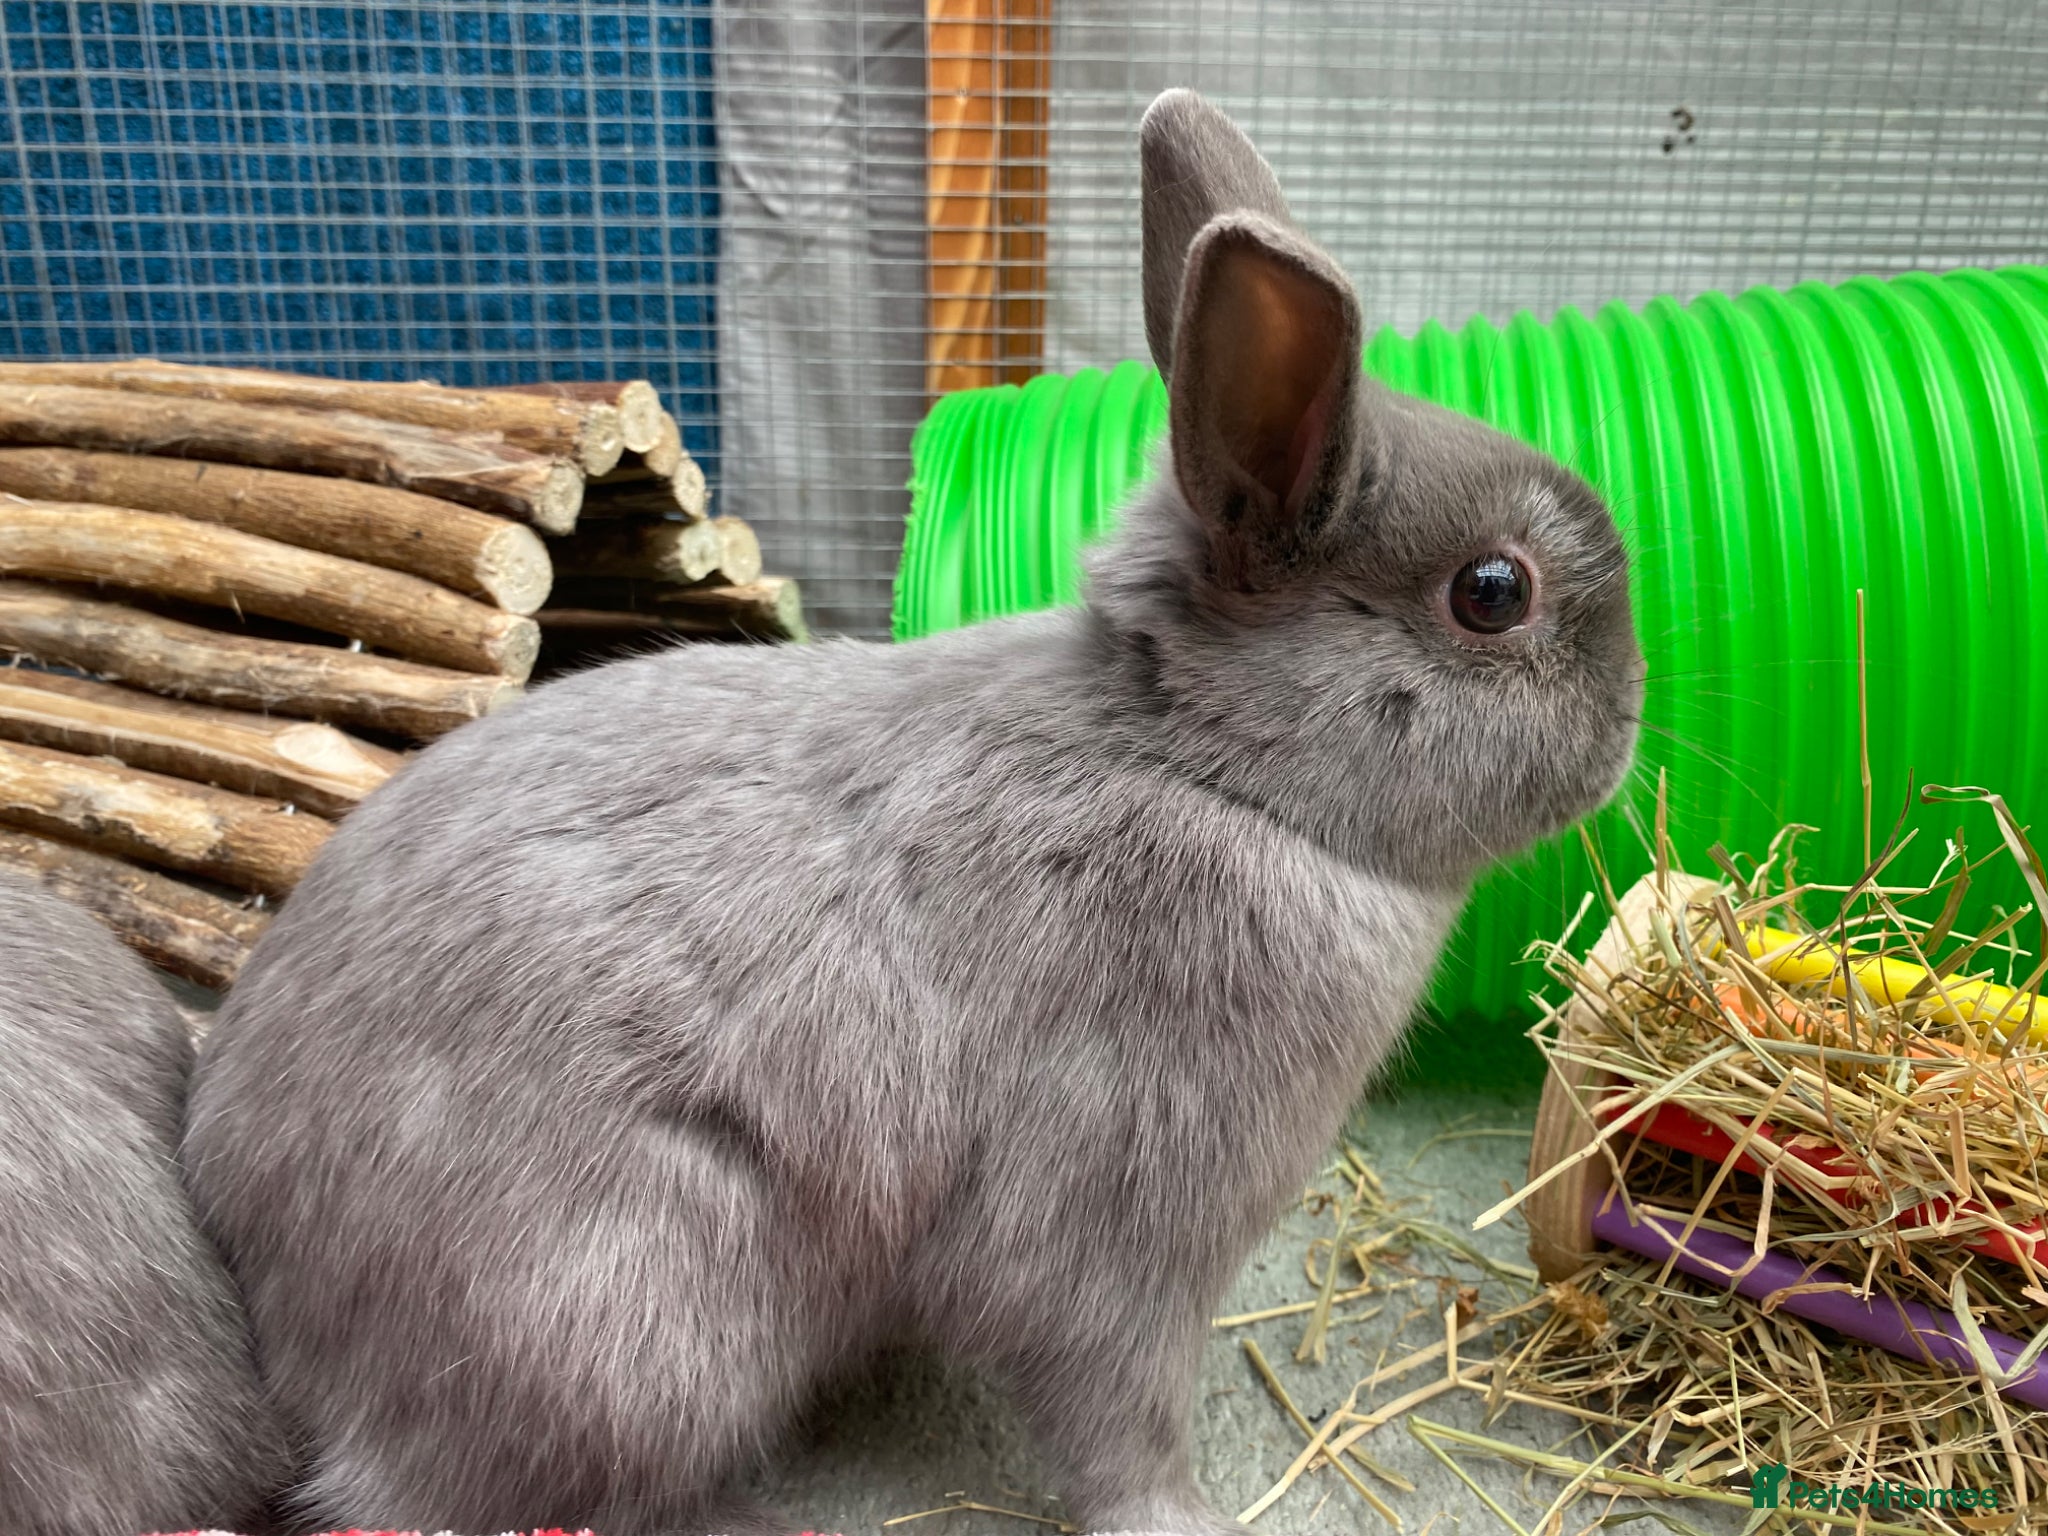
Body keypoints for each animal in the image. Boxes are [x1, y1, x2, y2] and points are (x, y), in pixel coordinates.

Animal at [182, 88, 1641, 1536]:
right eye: (1493, 593)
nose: (1632, 718)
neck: (1210, 769)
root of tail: (270, 1306)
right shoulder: (1114, 1228)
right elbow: (1116, 1417)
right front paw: (1186, 1518)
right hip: (639, 1326)